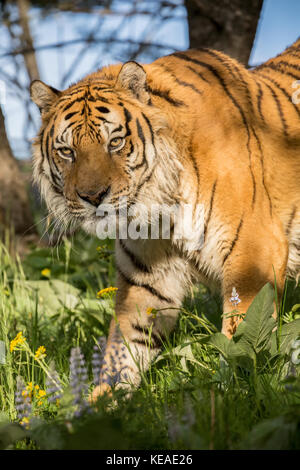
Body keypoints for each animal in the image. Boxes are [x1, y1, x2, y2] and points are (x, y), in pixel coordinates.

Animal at [29, 37, 300, 400]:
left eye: (115, 142)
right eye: (67, 151)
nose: (93, 197)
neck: (159, 205)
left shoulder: (253, 251)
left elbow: (241, 339)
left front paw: (230, 396)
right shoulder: (148, 278)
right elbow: (123, 348)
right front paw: (99, 406)